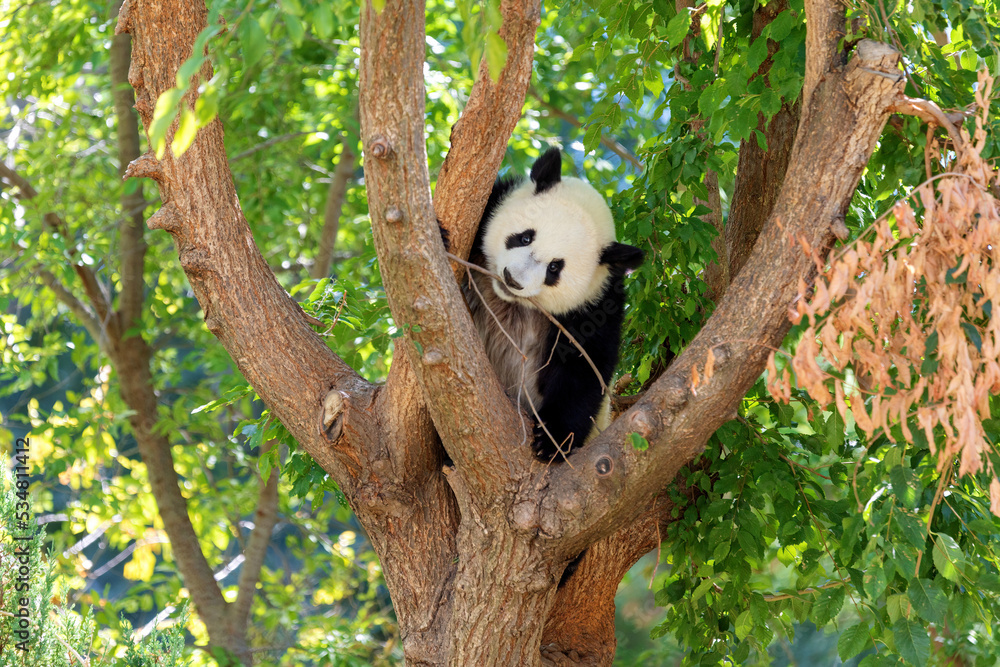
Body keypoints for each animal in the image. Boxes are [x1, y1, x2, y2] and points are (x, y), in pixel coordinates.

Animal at [448, 147, 643, 461]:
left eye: (554, 268)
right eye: (525, 237)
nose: (513, 279)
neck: (514, 303)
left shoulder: (596, 304)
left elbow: (583, 368)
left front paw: (552, 440)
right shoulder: (492, 206)